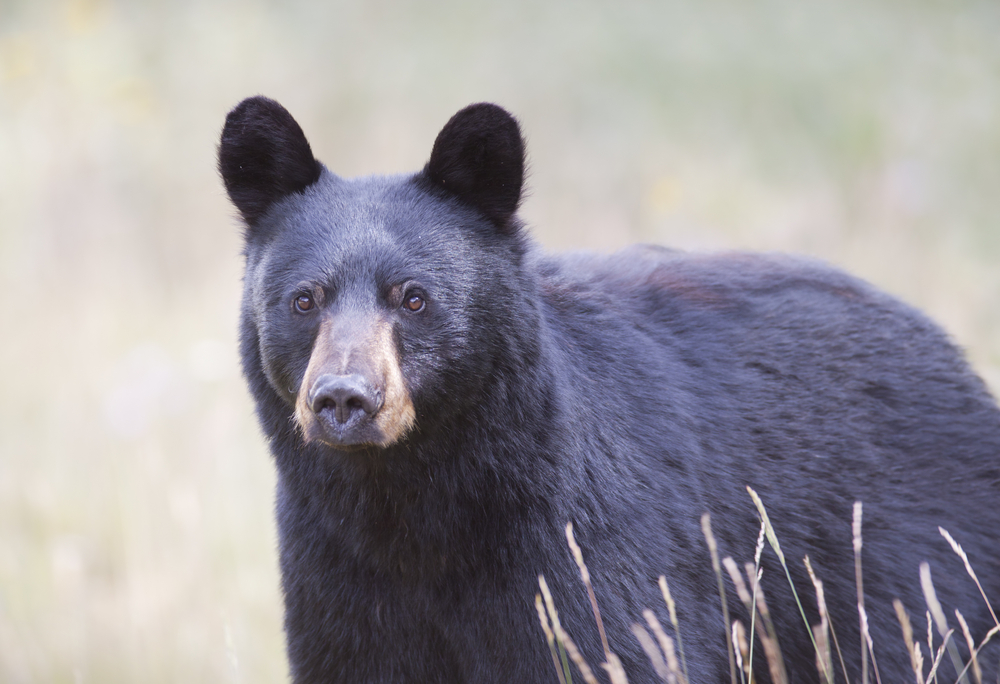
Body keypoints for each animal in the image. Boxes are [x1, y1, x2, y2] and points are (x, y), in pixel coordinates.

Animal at [218, 96, 1000, 684]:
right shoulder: (336, 584)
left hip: (910, 576)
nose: (345, 400)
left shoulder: (587, 558)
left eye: (413, 298)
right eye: (303, 300)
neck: (412, 507)